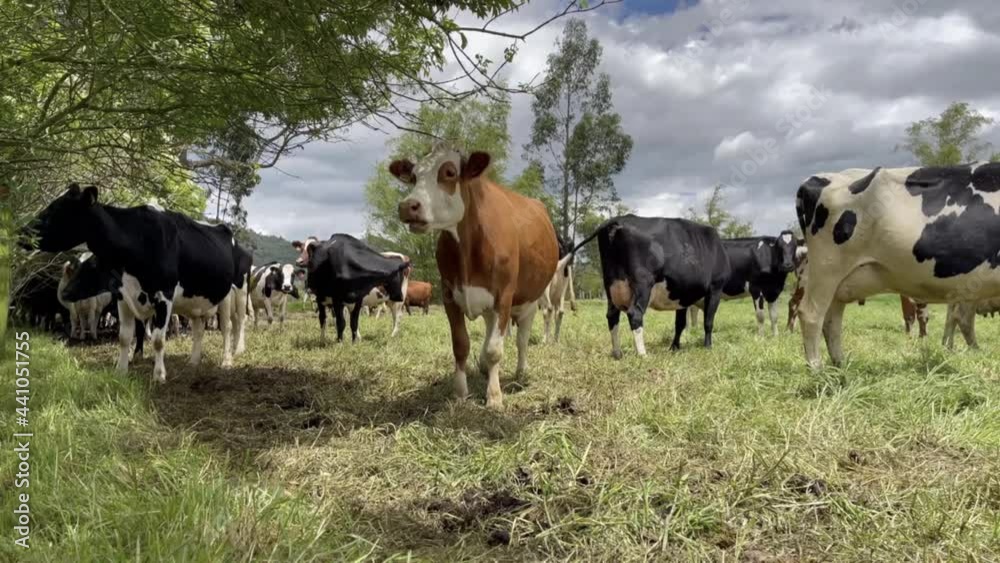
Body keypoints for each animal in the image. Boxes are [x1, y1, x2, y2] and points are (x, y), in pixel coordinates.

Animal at [21, 184, 252, 382]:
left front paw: (159, 375)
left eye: (57, 210)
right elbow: (124, 336)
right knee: (199, 329)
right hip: (197, 300)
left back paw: (229, 358)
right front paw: (120, 370)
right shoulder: (124, 296)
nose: (22, 232)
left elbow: (158, 339)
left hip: (235, 292)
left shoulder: (164, 295)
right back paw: (193, 361)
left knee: (231, 325)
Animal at [391, 143, 560, 408]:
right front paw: (461, 394)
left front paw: (494, 397)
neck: (467, 251)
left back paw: (520, 372)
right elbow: (461, 345)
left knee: (522, 338)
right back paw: (482, 366)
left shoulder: (504, 296)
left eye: (449, 173)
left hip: (532, 299)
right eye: (414, 177)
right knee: (491, 328)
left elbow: (495, 349)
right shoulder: (449, 295)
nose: (408, 206)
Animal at [565, 214, 730, 358]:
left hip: (611, 284)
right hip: (643, 284)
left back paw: (617, 353)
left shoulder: (682, 296)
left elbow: (680, 324)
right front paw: (708, 347)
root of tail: (617, 220)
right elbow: (708, 321)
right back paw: (643, 354)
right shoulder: (715, 288)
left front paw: (674, 347)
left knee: (612, 316)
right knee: (635, 314)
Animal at [794, 162, 1000, 368]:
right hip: (826, 269)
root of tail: (814, 179)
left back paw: (840, 366)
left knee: (831, 320)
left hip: (841, 281)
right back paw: (817, 369)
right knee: (811, 314)